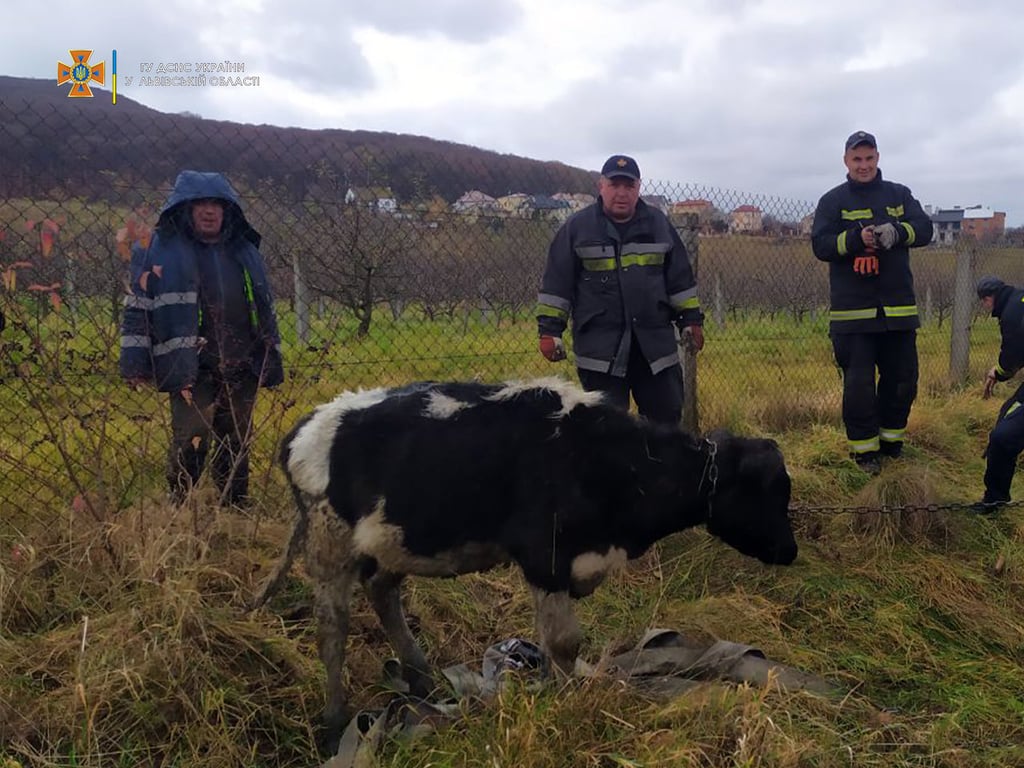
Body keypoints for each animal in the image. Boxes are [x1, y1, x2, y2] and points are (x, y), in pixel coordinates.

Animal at [256, 378, 798, 745]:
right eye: (772, 489)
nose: (790, 551)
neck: (613, 462)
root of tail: (306, 426)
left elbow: (555, 645)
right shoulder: (546, 559)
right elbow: (563, 642)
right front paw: (567, 703)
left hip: (394, 539)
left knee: (383, 592)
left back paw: (423, 678)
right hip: (329, 543)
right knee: (332, 628)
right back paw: (335, 718)